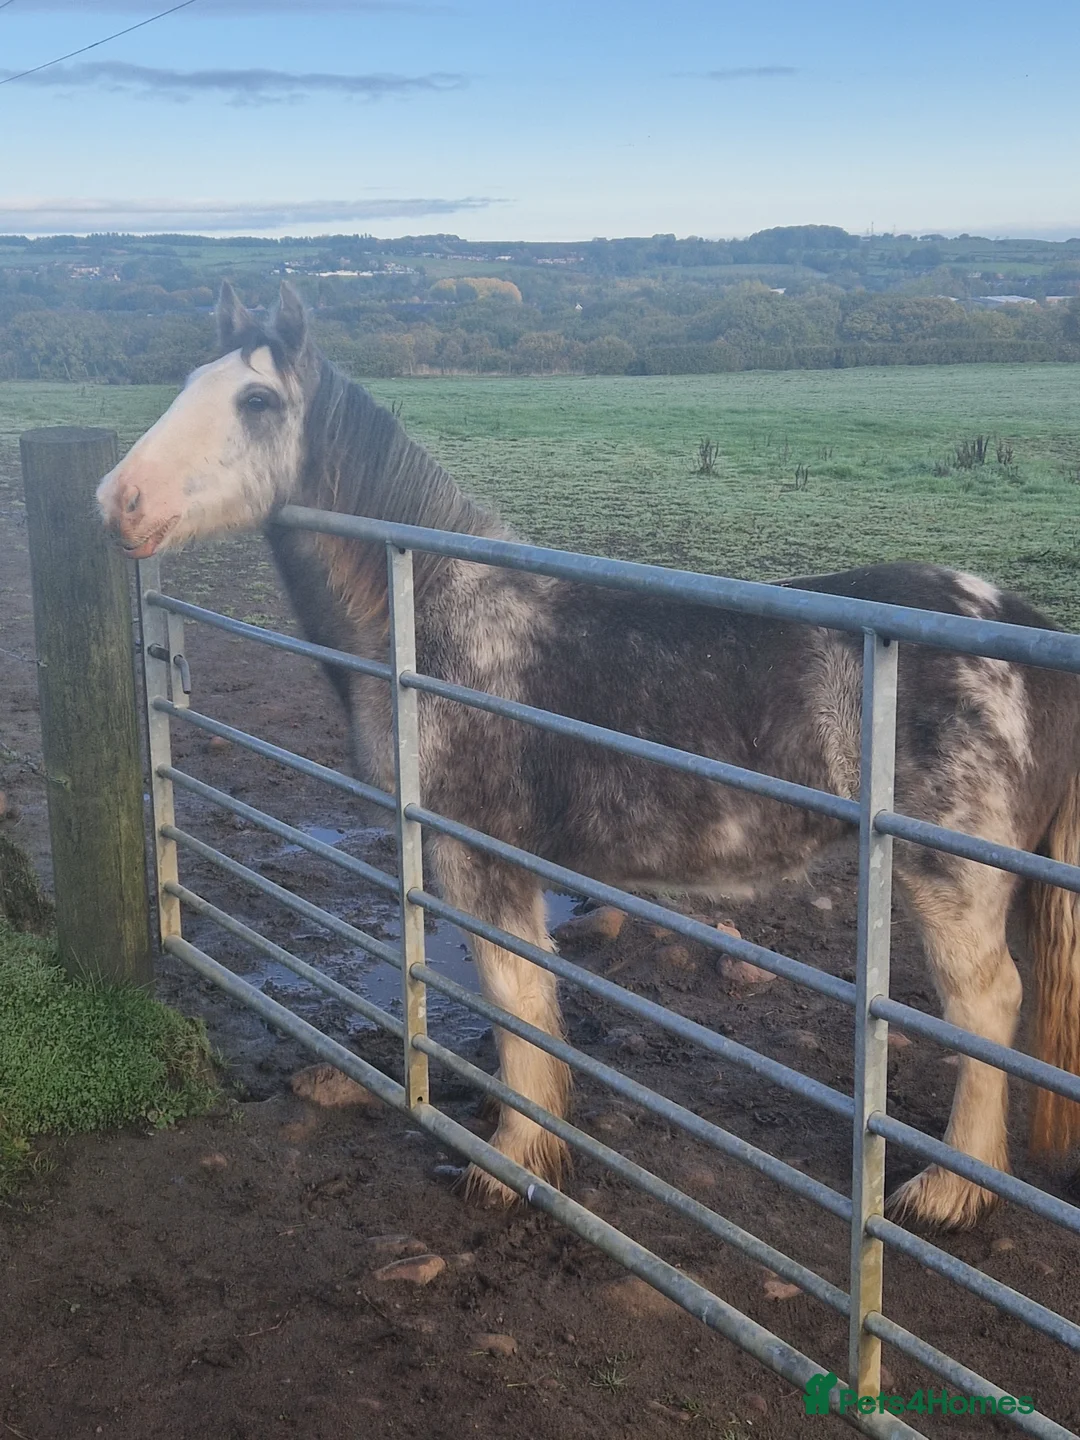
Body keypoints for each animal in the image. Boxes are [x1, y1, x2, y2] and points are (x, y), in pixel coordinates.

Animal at [97, 281, 1080, 1229]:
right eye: (188, 383)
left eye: (257, 400)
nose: (118, 500)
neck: (430, 612)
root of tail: (1020, 628)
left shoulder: (479, 854)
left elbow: (515, 997)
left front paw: (512, 1161)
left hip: (952, 881)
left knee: (986, 1008)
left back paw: (949, 1194)